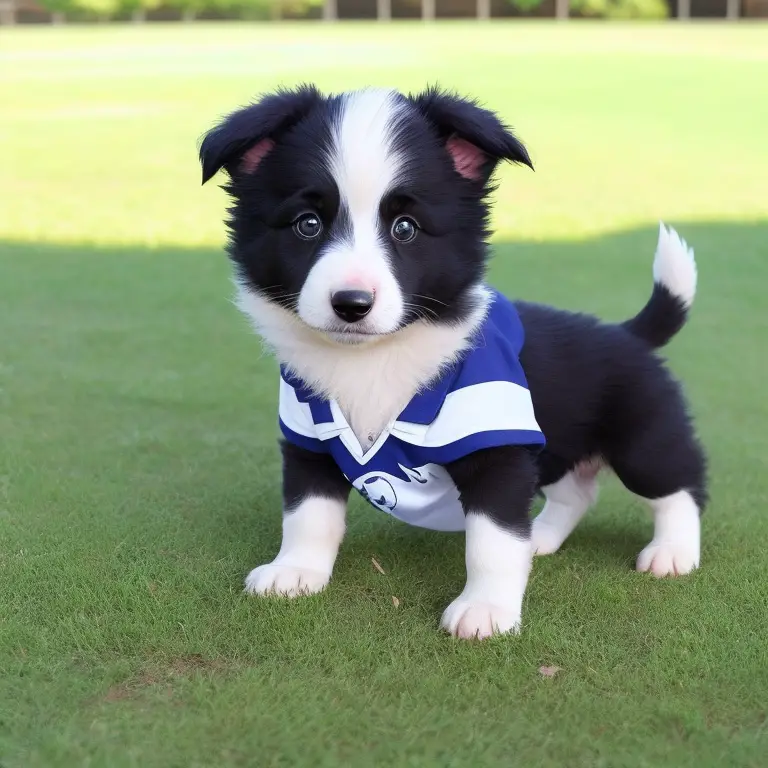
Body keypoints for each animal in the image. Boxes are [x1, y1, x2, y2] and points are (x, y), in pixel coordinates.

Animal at [200, 84, 708, 640]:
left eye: (405, 228)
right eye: (307, 224)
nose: (352, 303)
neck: (373, 362)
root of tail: (627, 333)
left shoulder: (498, 450)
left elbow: (494, 541)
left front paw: (486, 609)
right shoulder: (309, 439)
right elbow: (307, 513)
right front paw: (295, 571)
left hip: (643, 437)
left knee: (679, 485)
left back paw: (672, 552)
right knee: (576, 491)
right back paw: (542, 538)